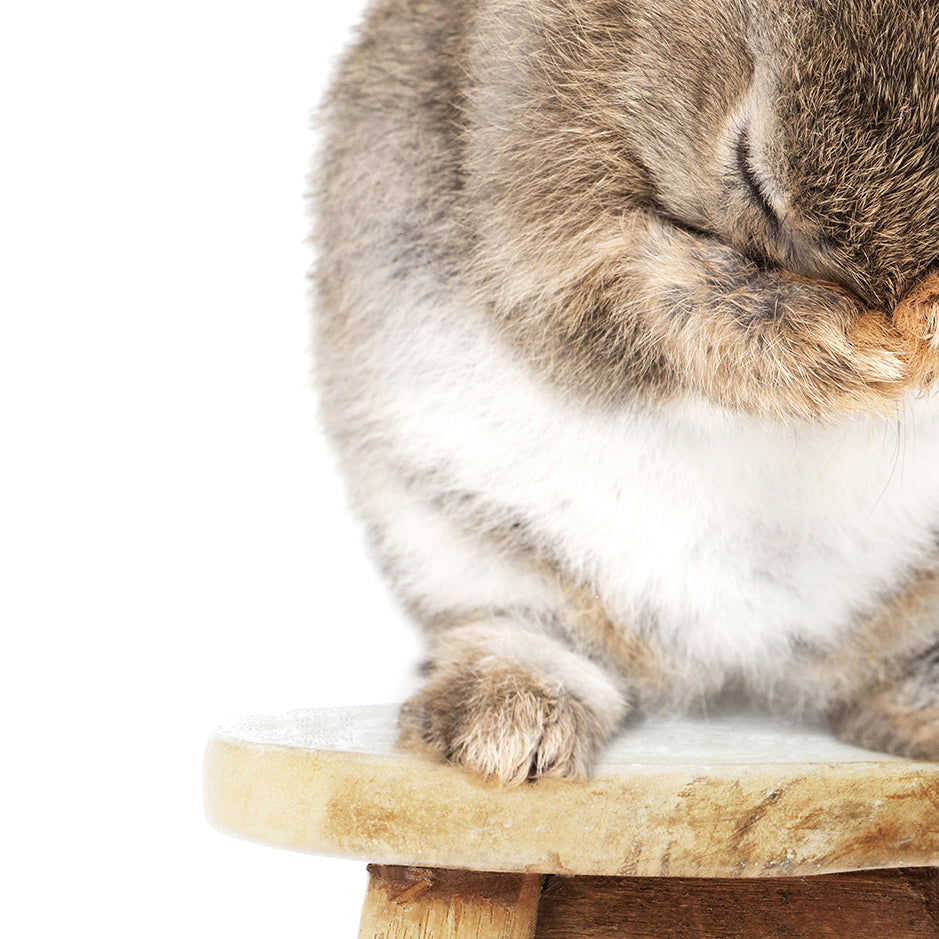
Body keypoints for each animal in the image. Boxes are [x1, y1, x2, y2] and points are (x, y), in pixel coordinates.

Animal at [314, 0, 939, 784]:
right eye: (750, 175)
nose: (885, 321)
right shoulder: (552, 213)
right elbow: (665, 298)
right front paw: (843, 352)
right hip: (455, 537)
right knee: (526, 628)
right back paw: (507, 718)